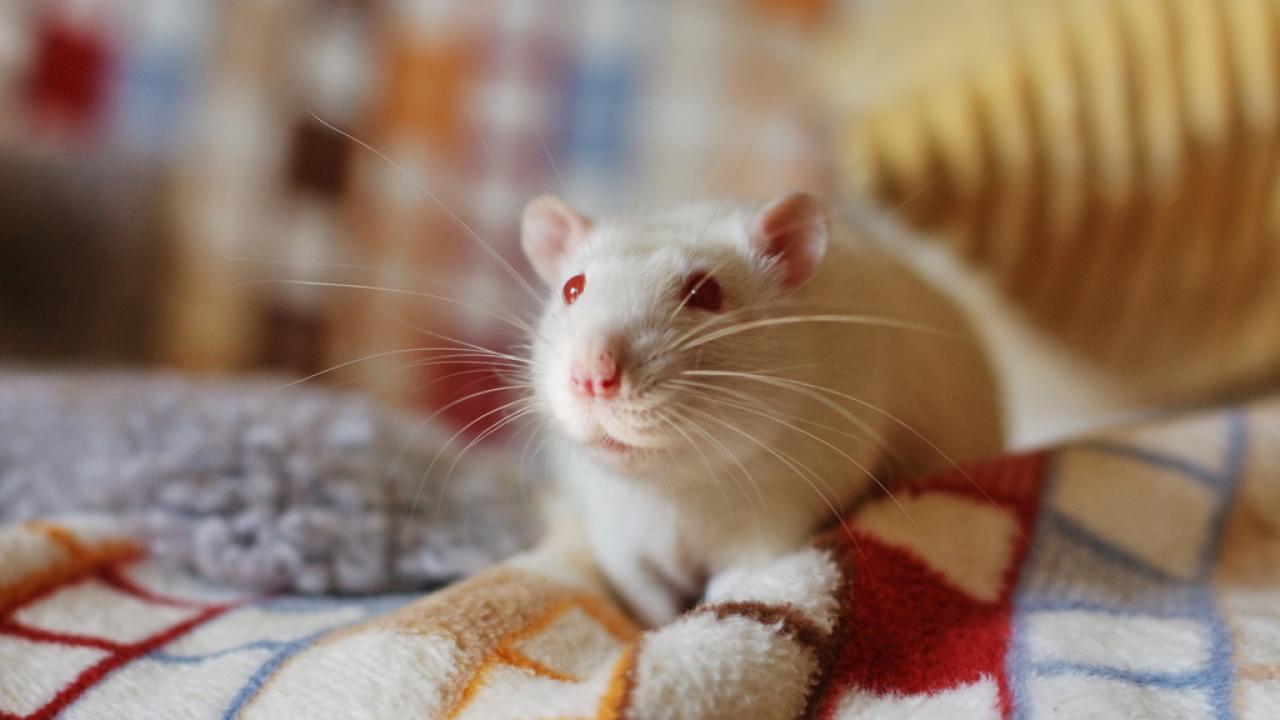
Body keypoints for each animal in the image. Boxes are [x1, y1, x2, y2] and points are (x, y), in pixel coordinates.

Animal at [520, 192, 1003, 626]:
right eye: (572, 288)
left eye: (706, 293)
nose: (591, 375)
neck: (677, 484)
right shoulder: (617, 527)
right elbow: (639, 588)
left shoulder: (779, 505)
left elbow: (742, 576)